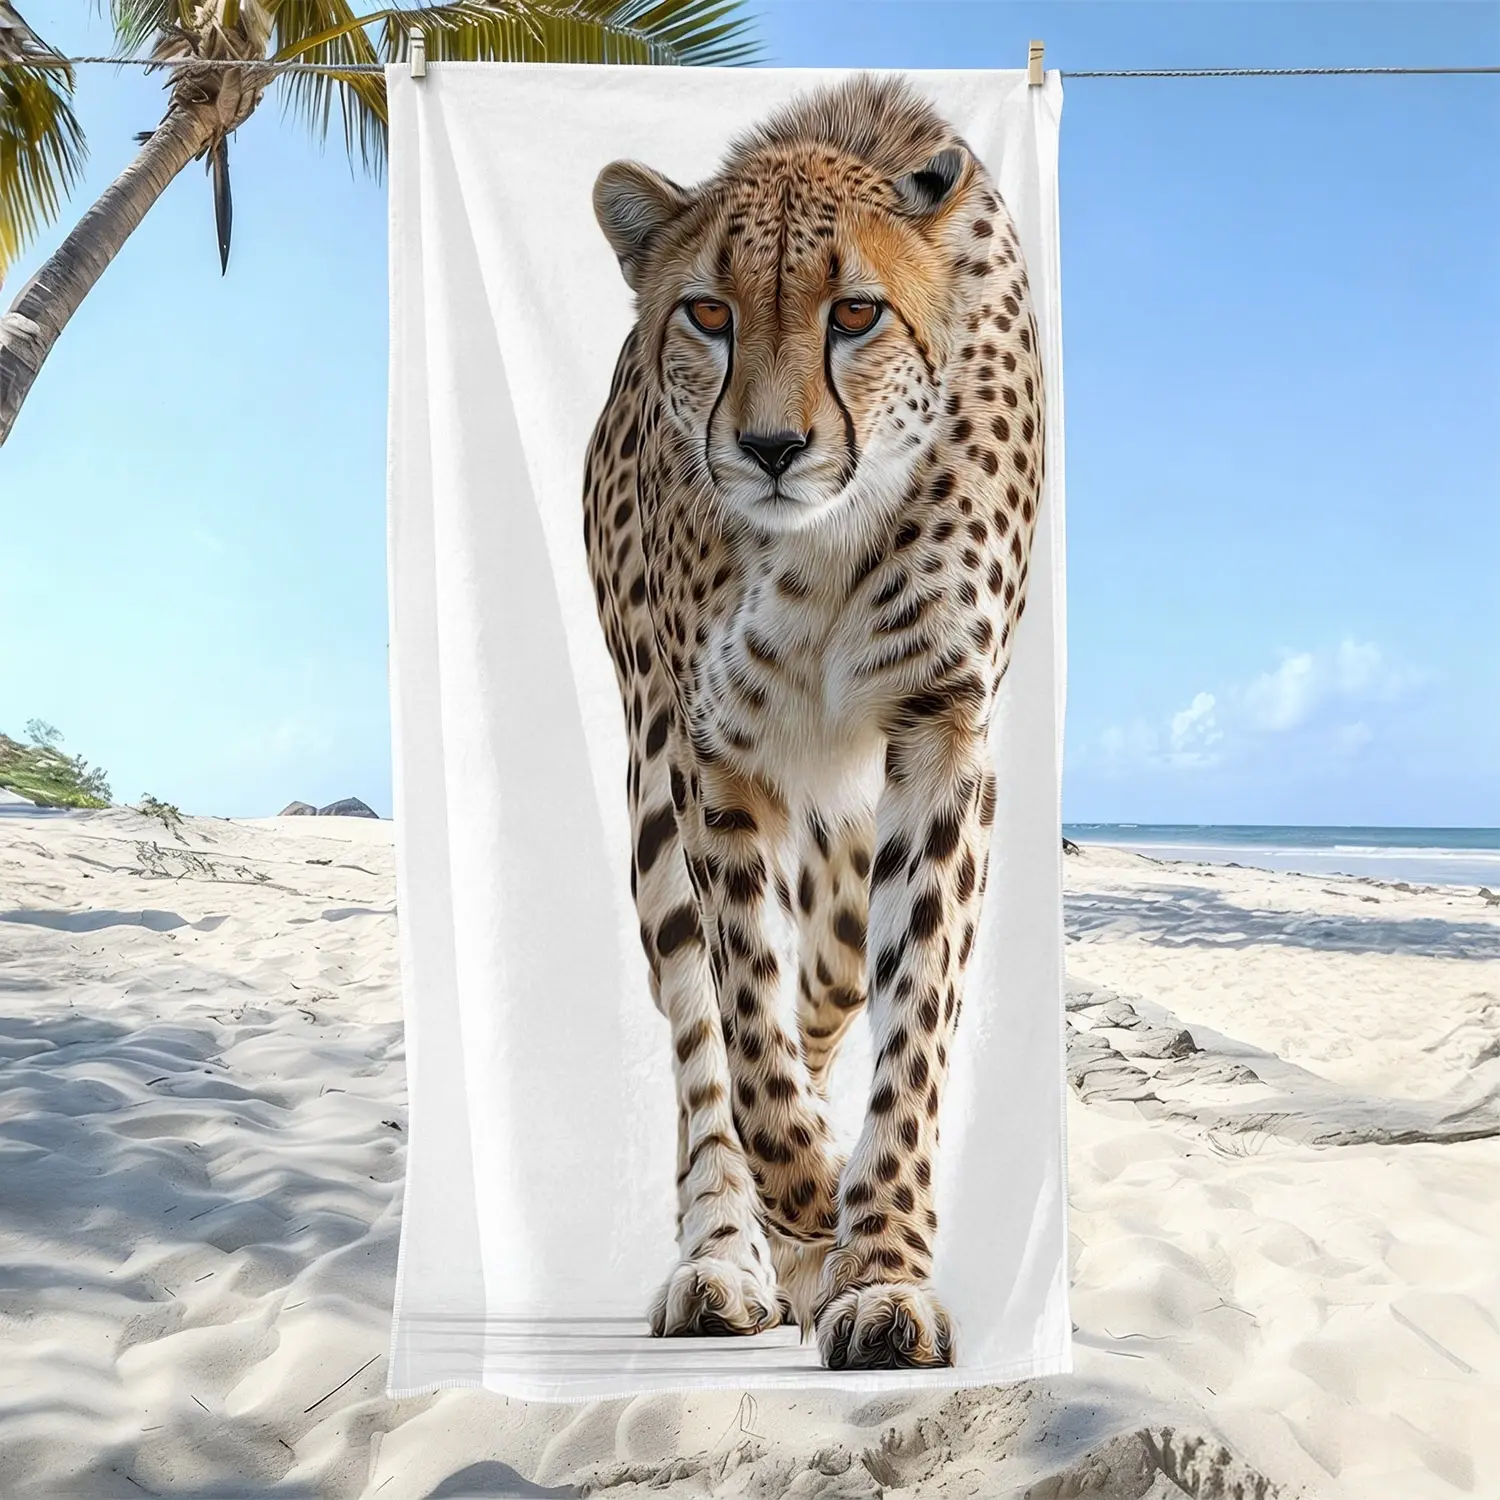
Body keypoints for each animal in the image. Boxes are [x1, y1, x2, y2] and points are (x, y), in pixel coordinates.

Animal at [582, 74, 1044, 1371]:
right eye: (707, 313)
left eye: (855, 315)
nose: (774, 447)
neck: (828, 537)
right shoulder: (712, 754)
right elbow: (744, 1026)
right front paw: (806, 1206)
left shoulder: (939, 734)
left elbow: (912, 1028)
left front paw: (879, 1268)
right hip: (654, 809)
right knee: (705, 1053)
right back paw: (731, 1259)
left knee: (831, 991)